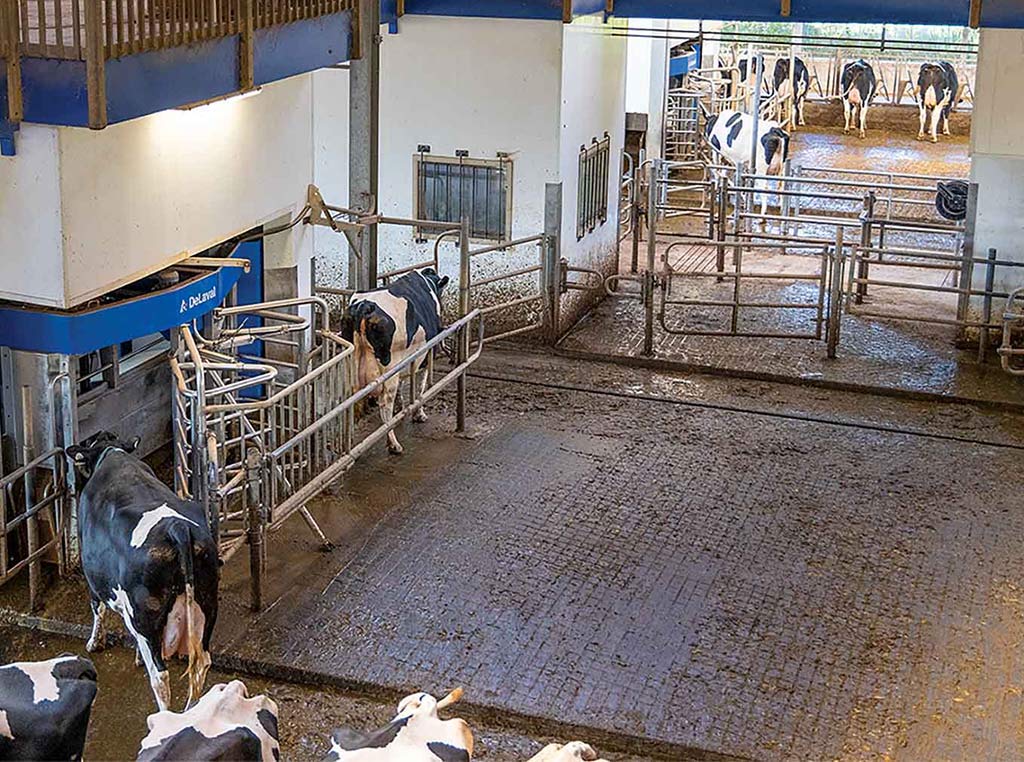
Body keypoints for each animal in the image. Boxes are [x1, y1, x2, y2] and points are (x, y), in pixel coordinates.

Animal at [69, 432, 221, 712]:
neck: (111, 452)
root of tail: (177, 529)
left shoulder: (92, 575)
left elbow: (98, 608)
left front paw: (94, 643)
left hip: (144, 614)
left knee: (160, 675)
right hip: (207, 603)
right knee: (200, 664)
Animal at [344, 268, 448, 454]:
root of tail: (365, 306)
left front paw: (402, 407)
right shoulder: (426, 355)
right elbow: (420, 387)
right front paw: (419, 414)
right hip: (389, 370)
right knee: (385, 403)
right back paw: (393, 444)